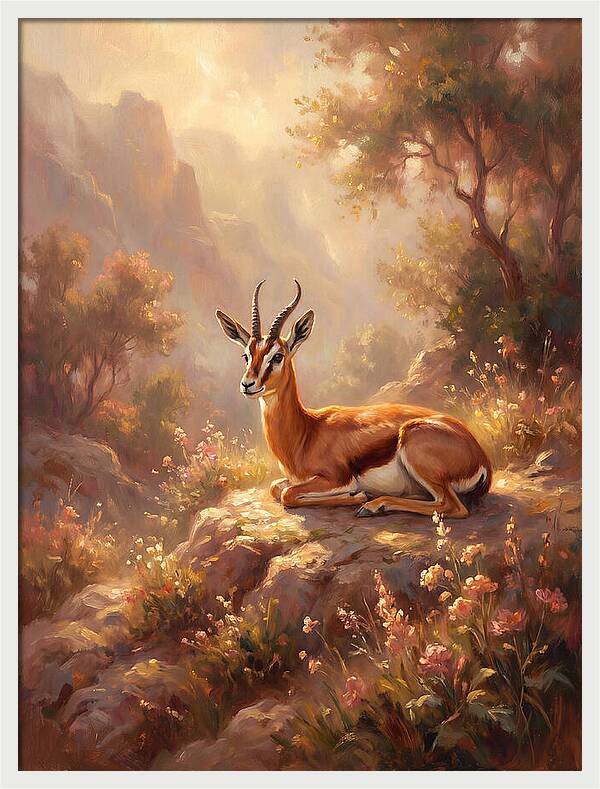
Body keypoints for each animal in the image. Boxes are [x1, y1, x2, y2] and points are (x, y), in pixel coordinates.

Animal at [216, 280, 492, 518]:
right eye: (246, 355)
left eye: (277, 356)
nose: (248, 384)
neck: (306, 432)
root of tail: (481, 457)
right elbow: (276, 487)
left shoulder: (336, 477)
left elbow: (288, 494)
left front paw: (357, 496)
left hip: (416, 446)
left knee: (453, 506)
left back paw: (373, 505)